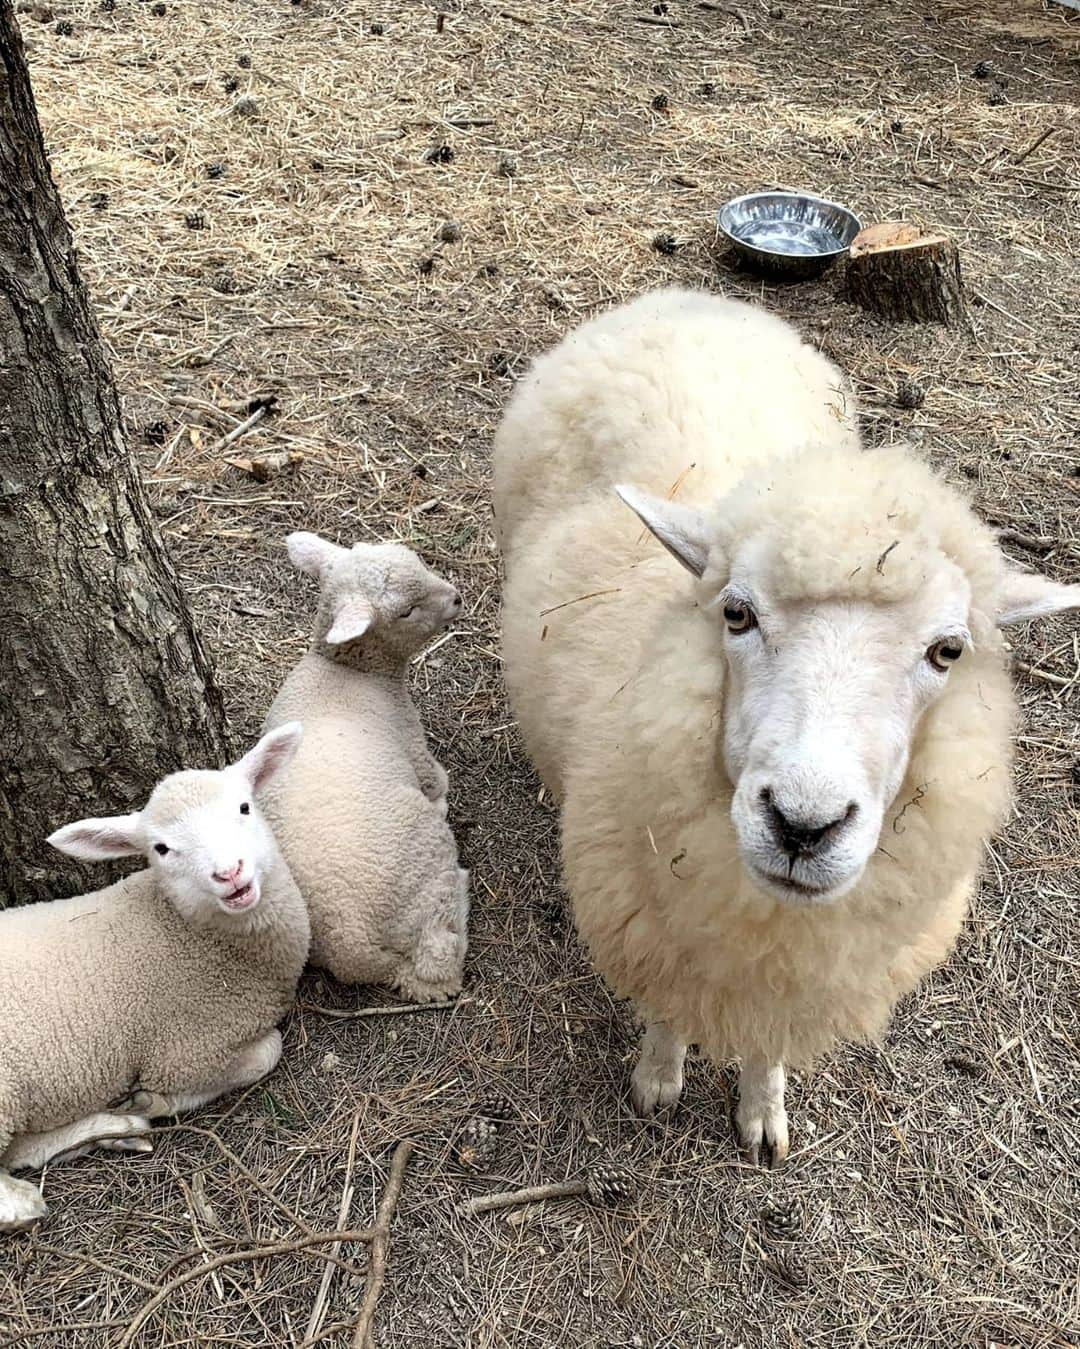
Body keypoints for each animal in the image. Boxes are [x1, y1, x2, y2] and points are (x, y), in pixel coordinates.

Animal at [2, 728, 310, 1235]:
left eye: (244, 807)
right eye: (161, 849)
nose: (229, 874)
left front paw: (140, 1107)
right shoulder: (185, 1050)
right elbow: (268, 1051)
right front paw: (155, 1099)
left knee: (17, 1149)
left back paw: (116, 1130)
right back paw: (26, 1203)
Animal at [262, 534, 469, 1003]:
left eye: (419, 560)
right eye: (406, 611)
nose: (455, 598)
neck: (350, 669)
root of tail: (352, 942)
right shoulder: (414, 744)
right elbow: (437, 781)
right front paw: (444, 794)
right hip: (427, 866)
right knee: (437, 960)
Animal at [496, 290, 1078, 1165]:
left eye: (948, 650)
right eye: (736, 612)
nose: (804, 825)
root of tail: (689, 300)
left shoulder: (793, 968)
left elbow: (768, 1041)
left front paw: (762, 1112)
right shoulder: (654, 920)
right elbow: (667, 1007)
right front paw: (659, 1079)